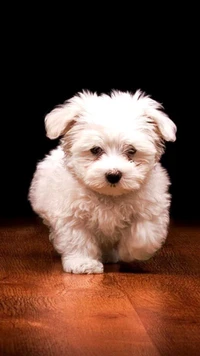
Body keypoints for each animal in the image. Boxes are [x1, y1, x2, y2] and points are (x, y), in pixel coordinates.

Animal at [28, 90, 177, 274]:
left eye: (132, 151)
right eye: (95, 150)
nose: (113, 175)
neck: (109, 195)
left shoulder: (149, 208)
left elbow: (144, 234)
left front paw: (129, 252)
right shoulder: (72, 214)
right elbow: (77, 239)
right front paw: (83, 263)